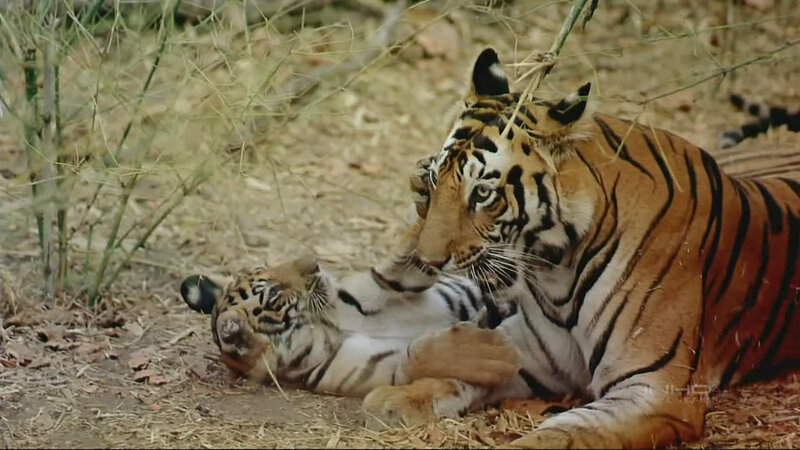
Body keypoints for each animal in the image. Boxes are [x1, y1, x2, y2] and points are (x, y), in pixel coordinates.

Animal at [178, 231, 522, 407]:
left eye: (268, 264)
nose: (313, 263)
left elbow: (396, 267)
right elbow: (419, 354)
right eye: (274, 293)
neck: (326, 325)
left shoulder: (384, 287)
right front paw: (493, 354)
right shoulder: (385, 368)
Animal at [361, 48, 800, 448]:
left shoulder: (655, 388)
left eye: (483, 193)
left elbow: (558, 435)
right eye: (437, 179)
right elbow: (460, 373)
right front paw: (393, 399)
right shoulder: (534, 352)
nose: (429, 260)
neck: (557, 267)